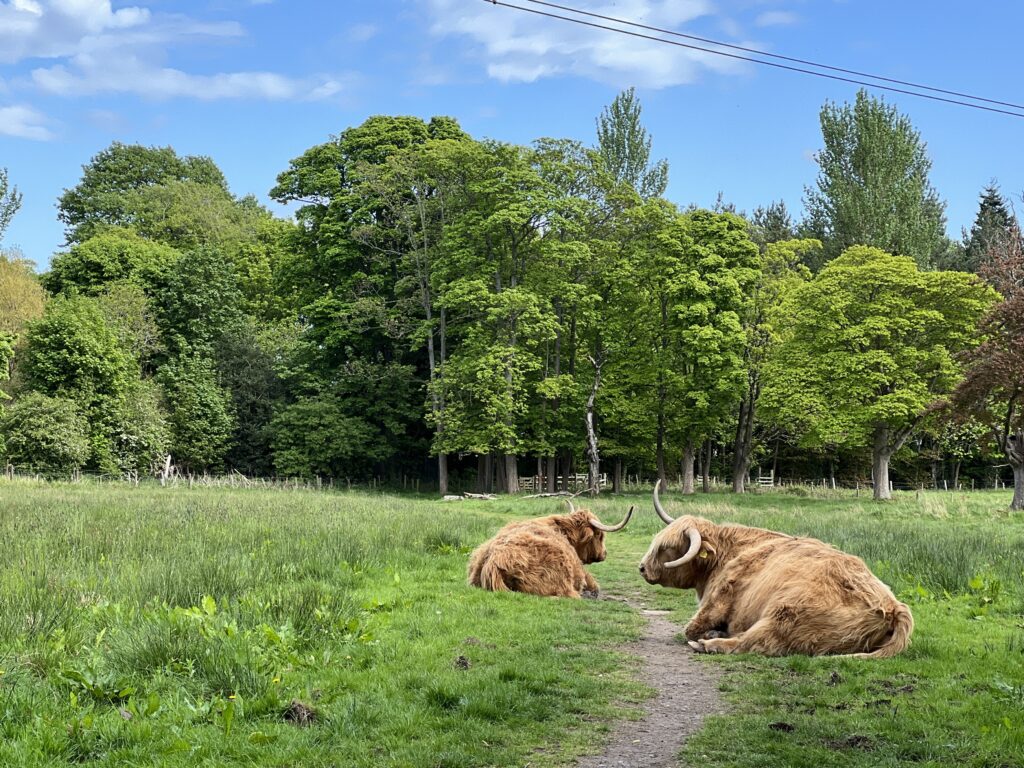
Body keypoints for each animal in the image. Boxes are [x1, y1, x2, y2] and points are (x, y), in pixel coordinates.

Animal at [638, 481, 913, 655]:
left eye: (668, 548)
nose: (641, 567)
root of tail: (892, 605)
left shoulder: (715, 603)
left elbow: (690, 628)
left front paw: (708, 634)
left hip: (785, 614)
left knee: (756, 642)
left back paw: (710, 643)